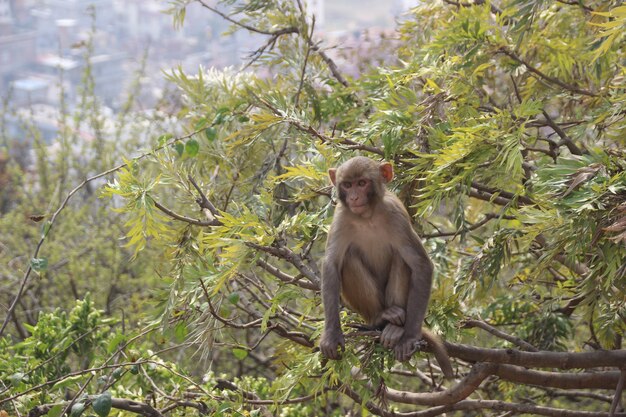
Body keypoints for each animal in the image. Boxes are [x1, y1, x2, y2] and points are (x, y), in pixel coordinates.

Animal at [320, 156, 450, 376]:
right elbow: (332, 265)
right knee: (348, 259)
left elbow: (421, 264)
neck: (367, 217)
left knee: (401, 257)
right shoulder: (341, 218)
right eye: (347, 185)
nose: (354, 197)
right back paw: (380, 318)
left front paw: (409, 337)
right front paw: (331, 334)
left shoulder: (395, 215)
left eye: (362, 183)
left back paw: (395, 326)